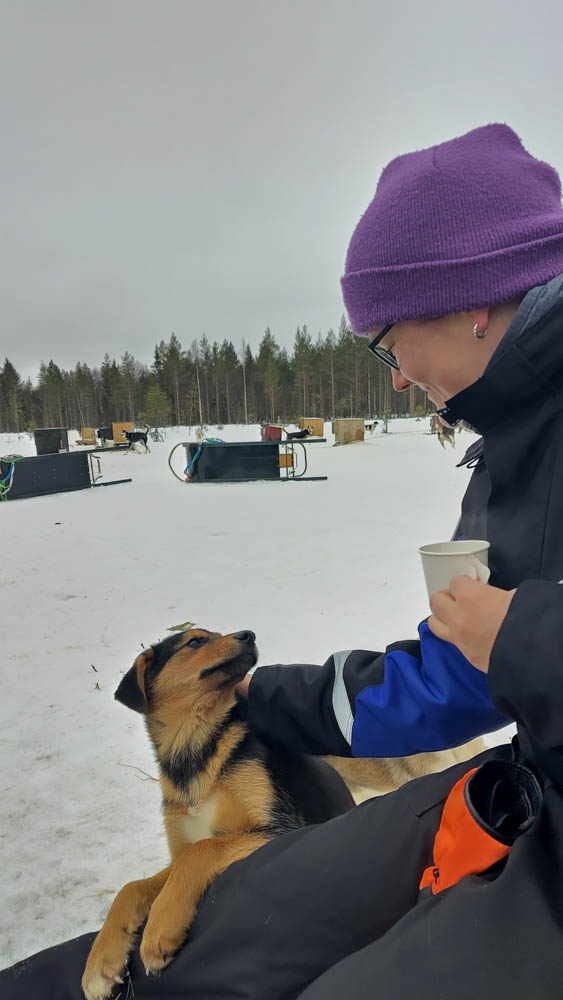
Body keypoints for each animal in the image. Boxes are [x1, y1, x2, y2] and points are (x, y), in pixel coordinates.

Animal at [81, 628, 352, 996]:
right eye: (195, 641)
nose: (249, 634)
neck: (194, 750)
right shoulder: (181, 848)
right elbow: (132, 887)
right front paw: (100, 965)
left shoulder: (279, 829)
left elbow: (202, 850)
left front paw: (160, 928)